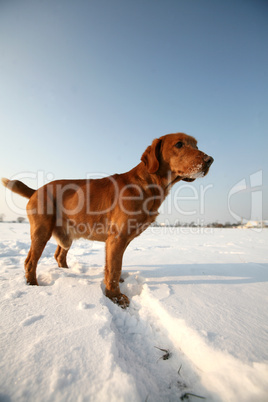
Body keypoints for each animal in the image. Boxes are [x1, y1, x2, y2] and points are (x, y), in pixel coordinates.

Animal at [0, 133, 214, 308]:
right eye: (179, 144)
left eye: (196, 144)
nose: (210, 160)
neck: (148, 185)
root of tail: (36, 190)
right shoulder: (117, 238)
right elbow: (113, 270)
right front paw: (116, 297)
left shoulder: (122, 240)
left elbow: (114, 267)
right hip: (41, 232)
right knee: (30, 261)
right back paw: (32, 285)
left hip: (66, 236)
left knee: (59, 255)